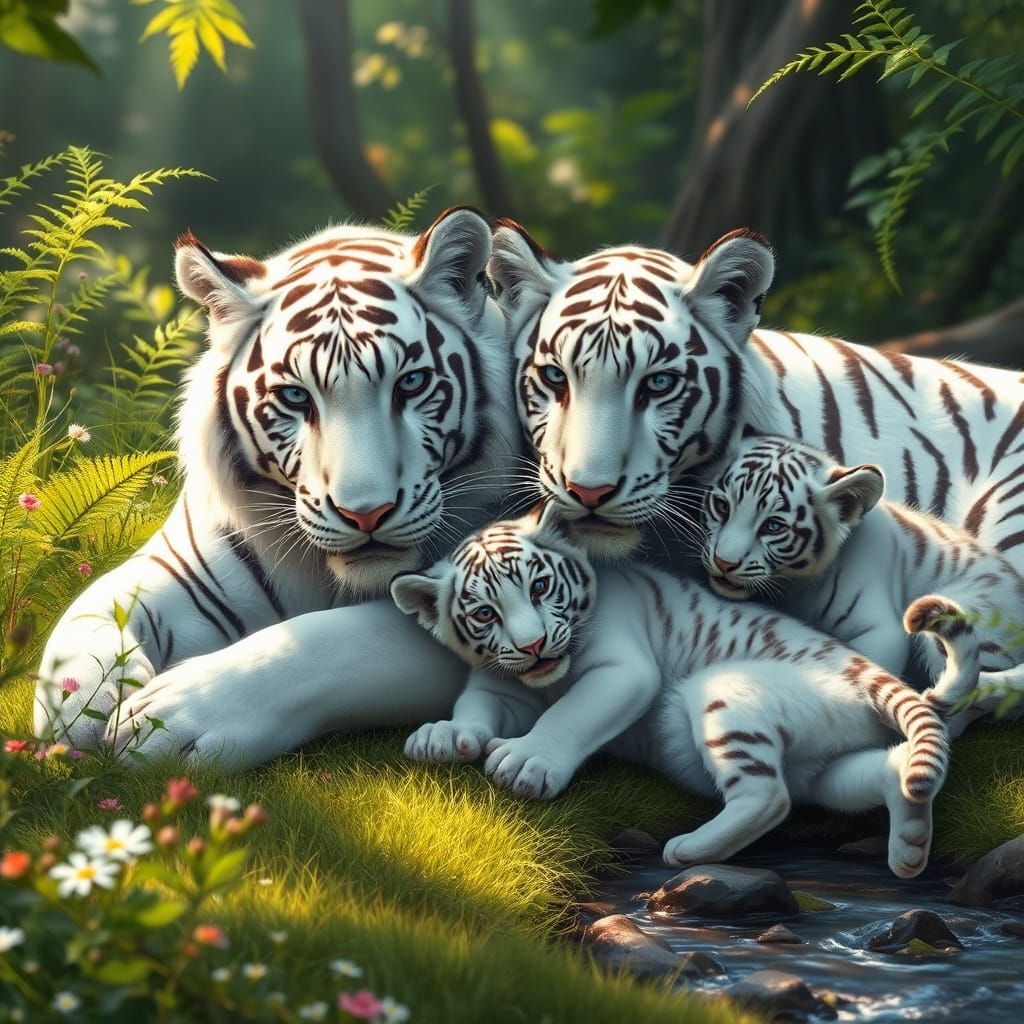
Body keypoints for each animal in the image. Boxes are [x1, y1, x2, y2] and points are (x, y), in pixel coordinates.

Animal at [35, 207, 519, 764]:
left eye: (411, 384)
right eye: (294, 396)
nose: (366, 514)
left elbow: (335, 641)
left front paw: (168, 717)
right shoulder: (177, 566)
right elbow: (86, 613)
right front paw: (76, 705)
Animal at [390, 509, 958, 878]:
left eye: (539, 588)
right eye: (485, 613)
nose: (531, 645)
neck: (545, 677)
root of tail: (862, 667)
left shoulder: (622, 668)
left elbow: (571, 714)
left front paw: (526, 763)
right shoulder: (500, 681)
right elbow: (476, 708)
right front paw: (443, 737)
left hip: (727, 694)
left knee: (767, 798)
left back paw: (687, 850)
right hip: (831, 760)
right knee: (879, 773)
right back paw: (910, 847)